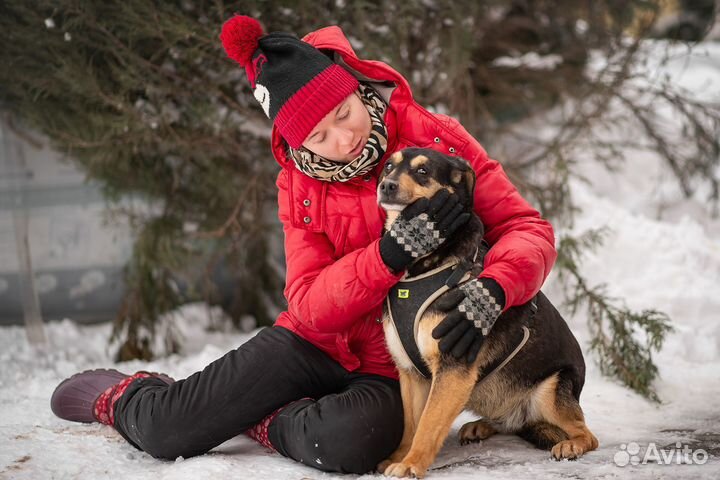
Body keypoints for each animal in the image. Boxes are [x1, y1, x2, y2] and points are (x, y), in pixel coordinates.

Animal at [374, 148, 600, 478]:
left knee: (589, 435)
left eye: (423, 171)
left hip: (550, 389)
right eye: (389, 166)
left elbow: (428, 424)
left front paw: (411, 463)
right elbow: (411, 425)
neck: (428, 262)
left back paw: (571, 445)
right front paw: (400, 456)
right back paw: (481, 426)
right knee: (508, 422)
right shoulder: (410, 372)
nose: (386, 186)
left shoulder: (453, 367)